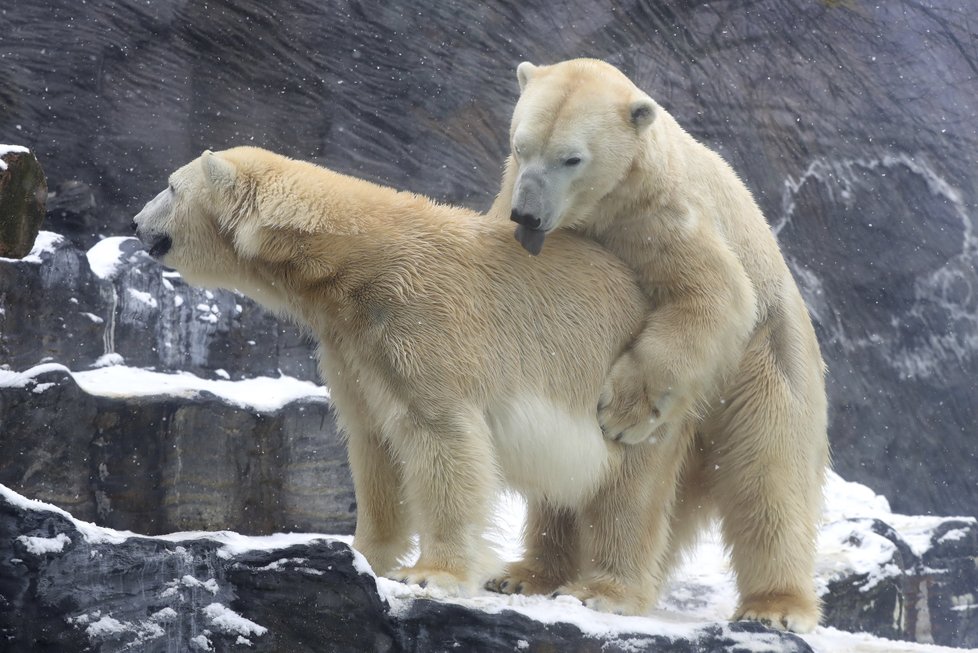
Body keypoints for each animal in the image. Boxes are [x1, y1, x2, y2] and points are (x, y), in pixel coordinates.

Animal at [492, 58, 828, 628]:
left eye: (571, 158)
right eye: (520, 145)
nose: (528, 216)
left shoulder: (664, 218)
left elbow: (711, 295)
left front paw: (624, 409)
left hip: (765, 363)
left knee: (766, 473)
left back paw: (769, 605)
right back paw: (527, 574)